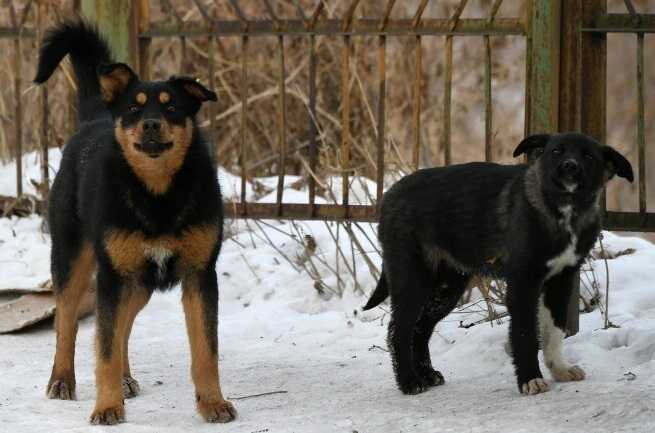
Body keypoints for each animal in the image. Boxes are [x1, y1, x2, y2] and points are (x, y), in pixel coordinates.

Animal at [34, 22, 236, 424]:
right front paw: (107, 406)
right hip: (74, 259)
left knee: (122, 326)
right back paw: (62, 380)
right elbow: (104, 350)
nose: (151, 124)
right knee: (67, 322)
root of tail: (95, 116)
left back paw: (125, 379)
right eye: (133, 107)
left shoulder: (200, 275)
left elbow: (206, 351)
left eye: (172, 106)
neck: (157, 195)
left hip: (139, 280)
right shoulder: (112, 276)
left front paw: (213, 403)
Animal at [366, 132, 632, 394]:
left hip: (447, 288)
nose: (570, 166)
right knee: (399, 330)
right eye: (557, 151)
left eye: (588, 156)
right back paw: (409, 381)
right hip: (412, 278)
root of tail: (390, 194)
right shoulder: (523, 283)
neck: (563, 210)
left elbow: (554, 331)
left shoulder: (561, 279)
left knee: (420, 329)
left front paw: (559, 369)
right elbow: (525, 334)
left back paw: (427, 374)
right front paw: (530, 379)